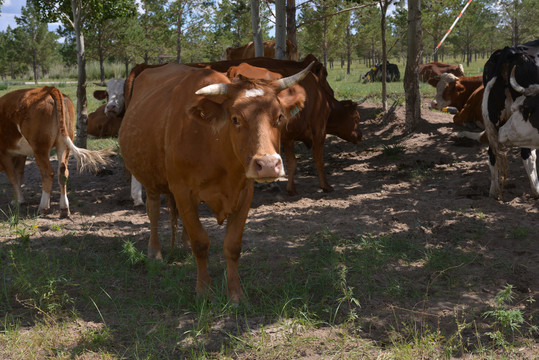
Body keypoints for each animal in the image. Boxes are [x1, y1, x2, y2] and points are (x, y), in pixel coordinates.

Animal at [0, 86, 112, 218]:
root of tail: (48, 88)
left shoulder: (4, 154)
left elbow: (12, 177)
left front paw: (18, 201)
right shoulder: (20, 154)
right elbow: (18, 175)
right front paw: (17, 199)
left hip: (40, 147)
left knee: (48, 173)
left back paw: (43, 208)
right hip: (63, 143)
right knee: (63, 172)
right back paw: (64, 208)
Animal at [119, 62, 310, 300]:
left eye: (279, 117)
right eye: (235, 118)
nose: (267, 164)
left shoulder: (244, 193)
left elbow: (232, 245)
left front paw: (236, 293)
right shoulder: (182, 191)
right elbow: (201, 243)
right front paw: (204, 290)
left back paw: (183, 244)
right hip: (148, 176)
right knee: (153, 210)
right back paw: (155, 252)